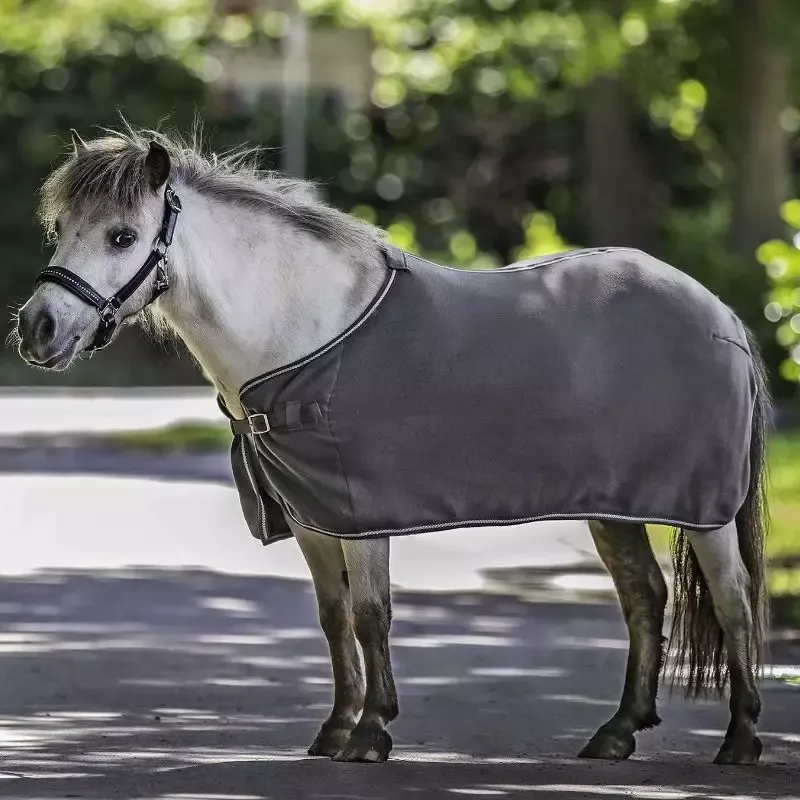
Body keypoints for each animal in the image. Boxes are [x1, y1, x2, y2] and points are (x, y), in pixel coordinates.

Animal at [14, 127, 770, 766]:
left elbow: (371, 615)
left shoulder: (360, 513)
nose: (36, 328)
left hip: (705, 510)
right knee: (645, 597)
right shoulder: (313, 519)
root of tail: (721, 313)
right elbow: (333, 618)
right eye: (61, 229)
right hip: (615, 507)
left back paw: (740, 739)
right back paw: (617, 734)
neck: (303, 330)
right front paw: (335, 728)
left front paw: (372, 732)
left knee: (733, 601)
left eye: (122, 235)